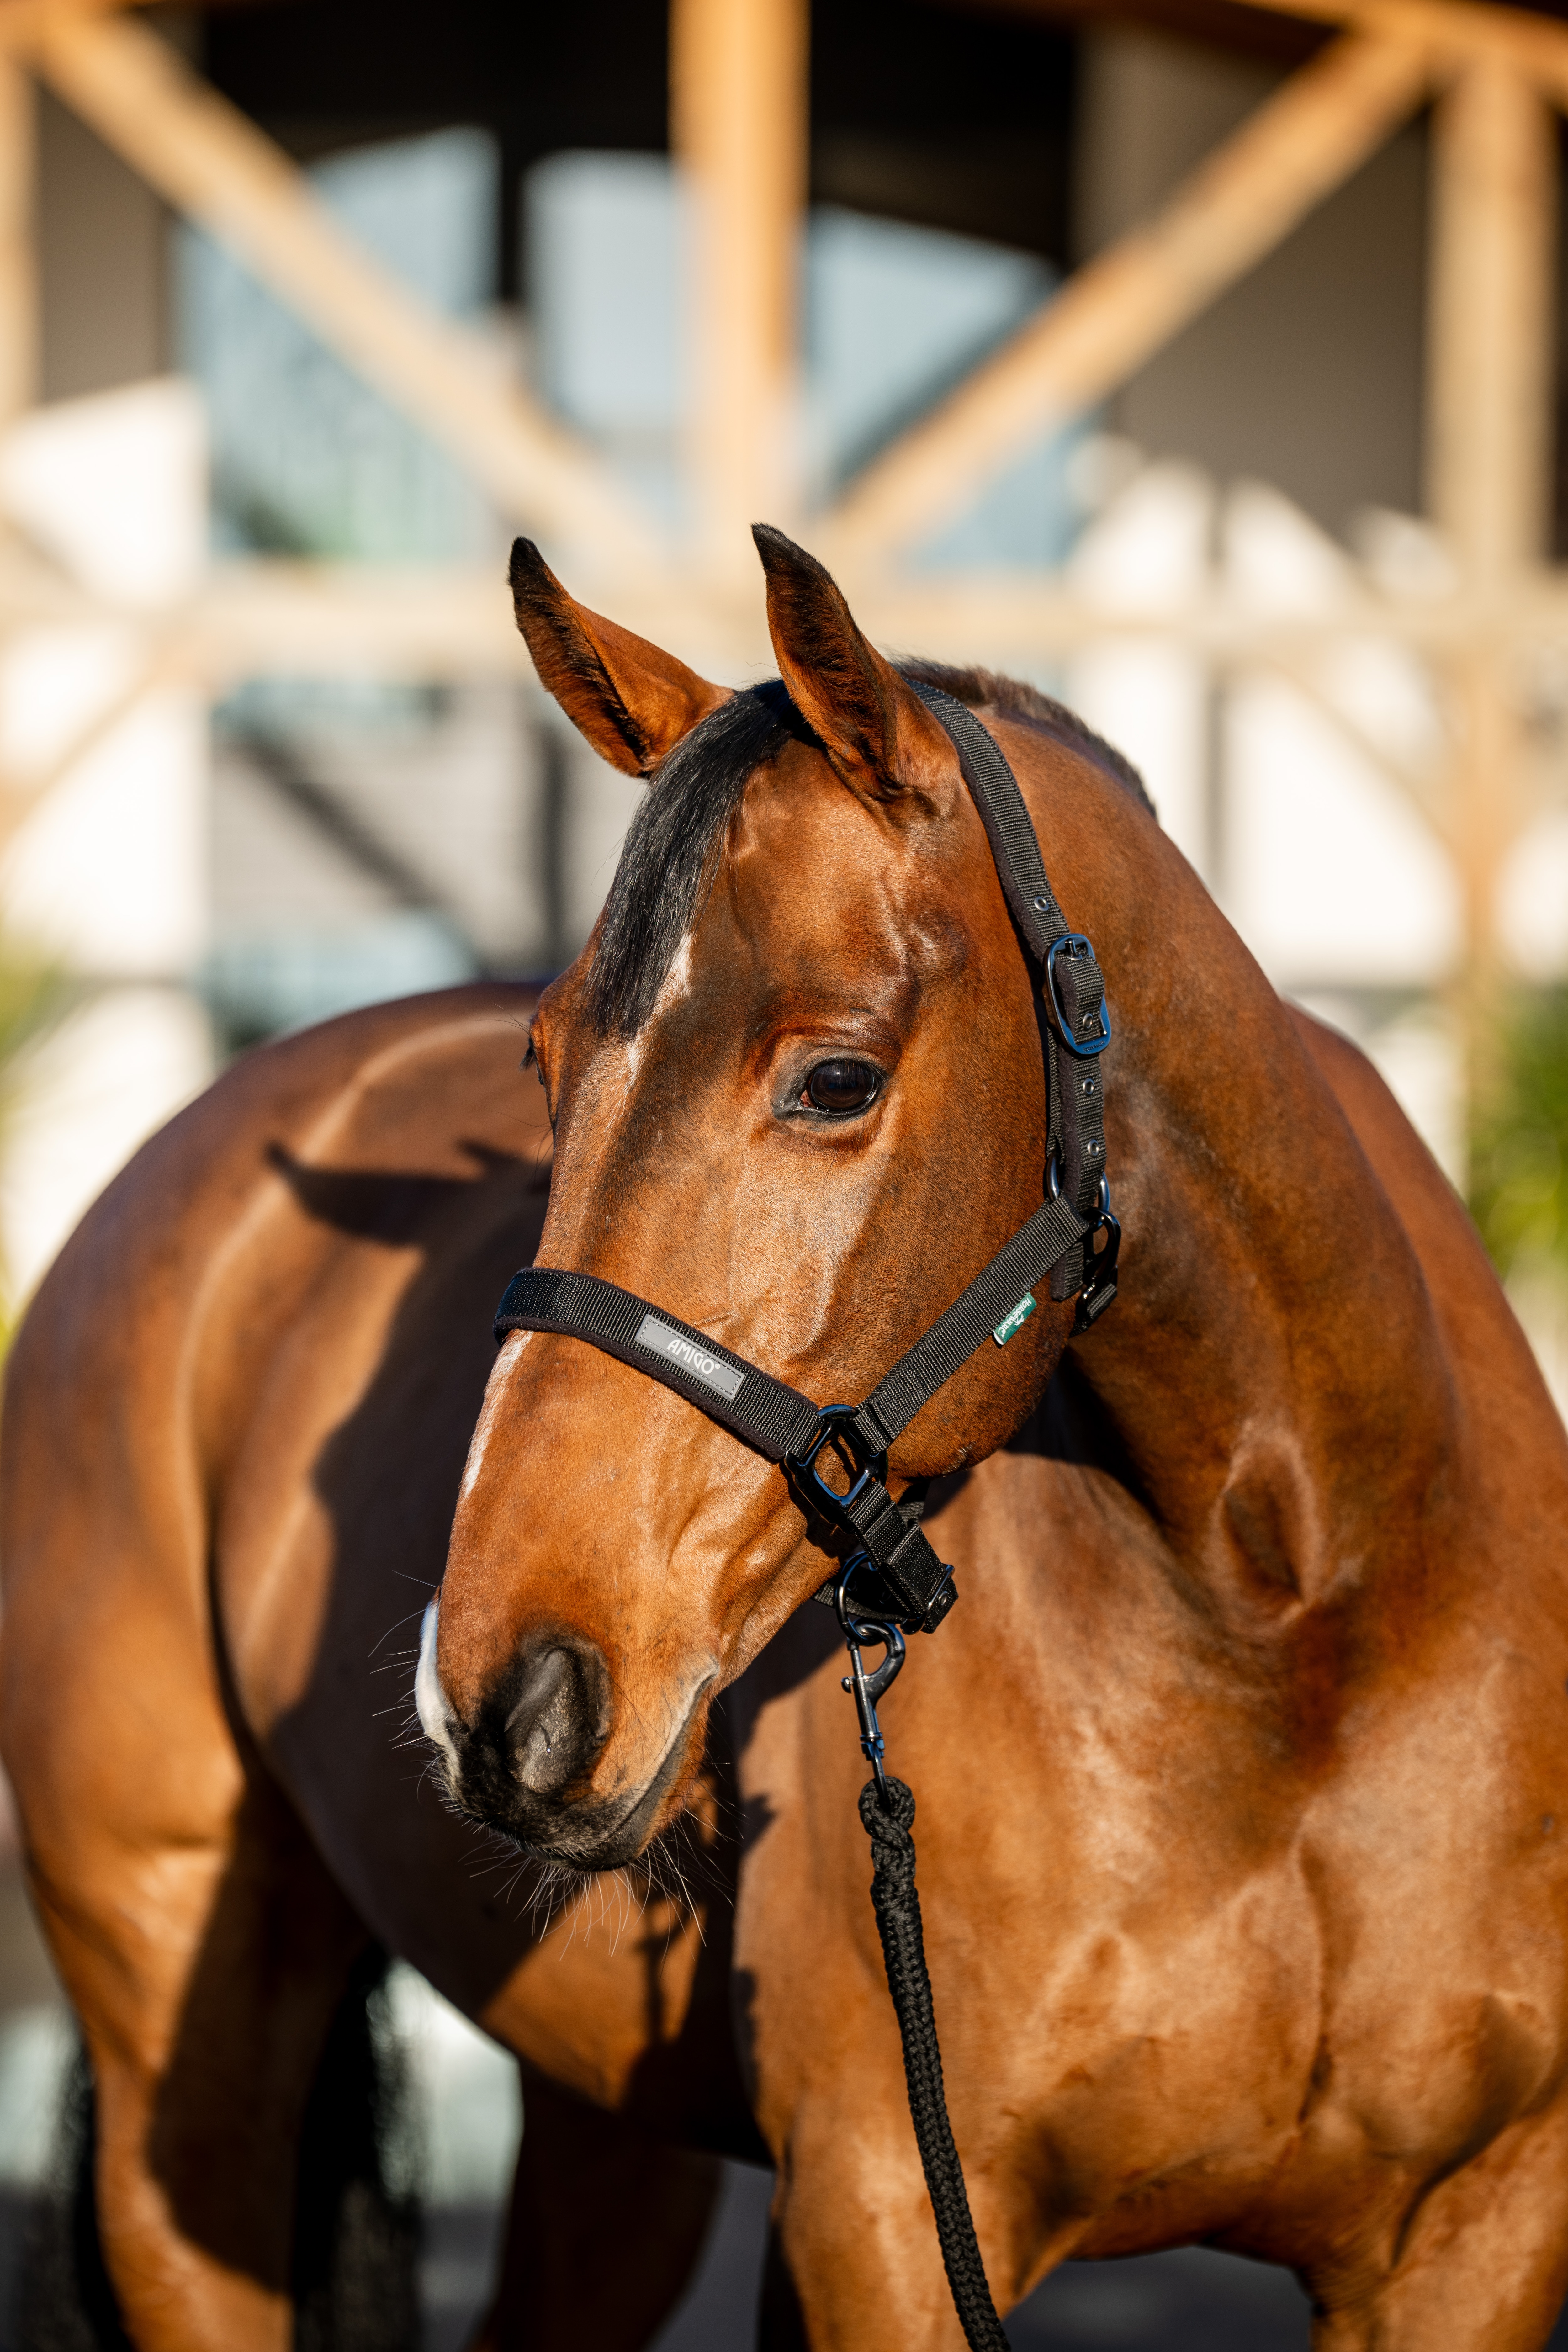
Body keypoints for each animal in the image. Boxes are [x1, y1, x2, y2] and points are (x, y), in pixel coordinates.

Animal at [3, 524, 1568, 2343]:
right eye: (543, 1059)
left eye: (834, 1077)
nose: (503, 1697)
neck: (1305, 1630)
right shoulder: (881, 2213)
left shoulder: (1473, 2233)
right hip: (188, 2082)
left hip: (605, 2127)